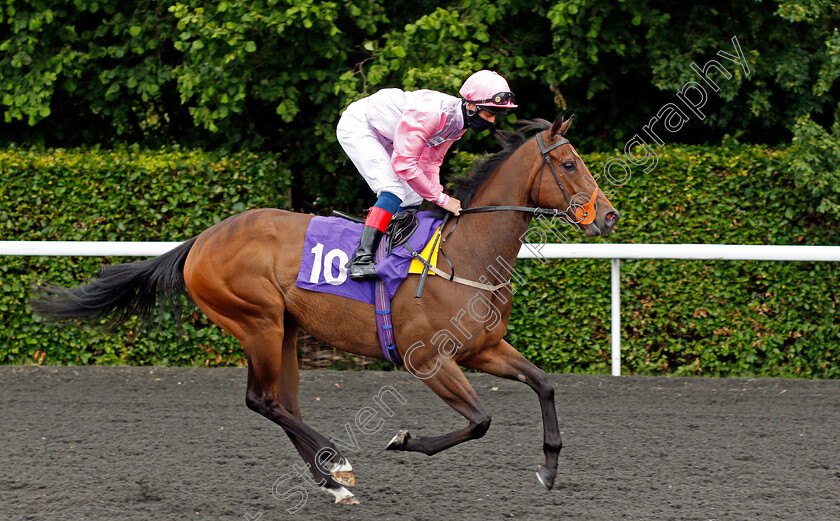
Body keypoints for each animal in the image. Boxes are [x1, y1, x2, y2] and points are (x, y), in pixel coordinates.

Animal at [32, 116, 620, 506]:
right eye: (570, 163)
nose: (610, 217)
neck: (464, 253)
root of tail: (201, 240)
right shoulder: (428, 359)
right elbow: (479, 421)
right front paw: (403, 439)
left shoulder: (484, 348)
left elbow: (543, 384)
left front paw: (548, 468)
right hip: (258, 321)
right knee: (262, 400)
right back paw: (337, 461)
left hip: (285, 330)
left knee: (280, 401)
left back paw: (331, 481)